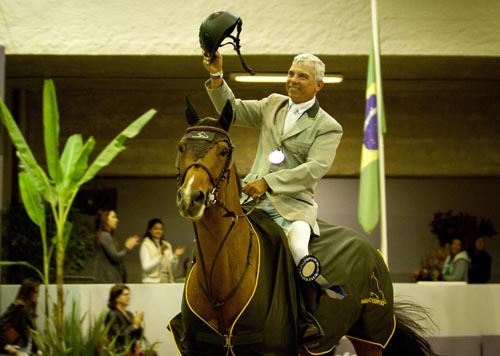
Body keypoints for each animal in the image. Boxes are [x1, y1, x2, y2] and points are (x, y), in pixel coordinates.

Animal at [166, 99, 436, 356]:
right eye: (180, 147)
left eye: (223, 151)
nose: (191, 198)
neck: (222, 274)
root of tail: (372, 249)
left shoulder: (272, 350)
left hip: (370, 337)